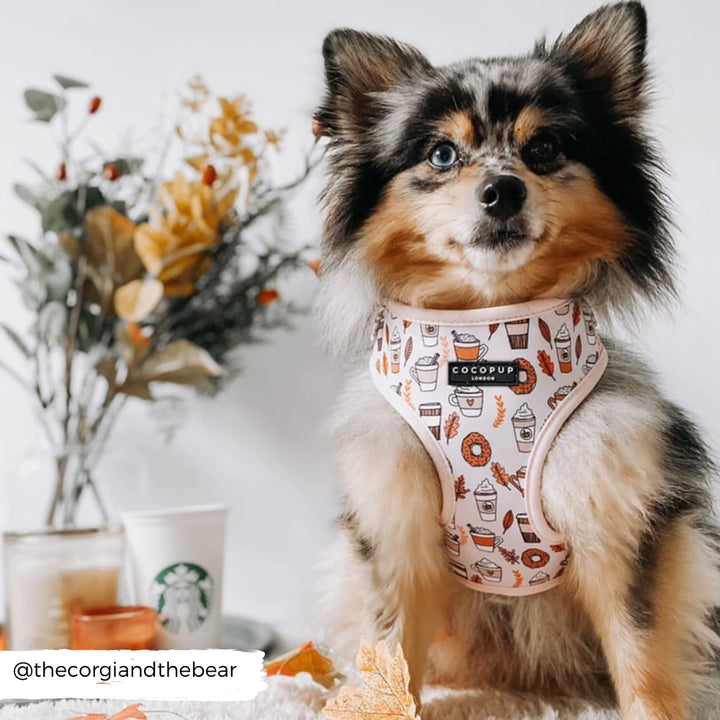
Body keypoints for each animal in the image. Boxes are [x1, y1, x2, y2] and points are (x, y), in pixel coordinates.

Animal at [316, 2, 720, 716]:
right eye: (441, 153)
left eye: (545, 149)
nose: (502, 191)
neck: (491, 330)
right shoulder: (397, 529)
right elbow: (392, 653)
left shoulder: (618, 519)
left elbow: (641, 657)